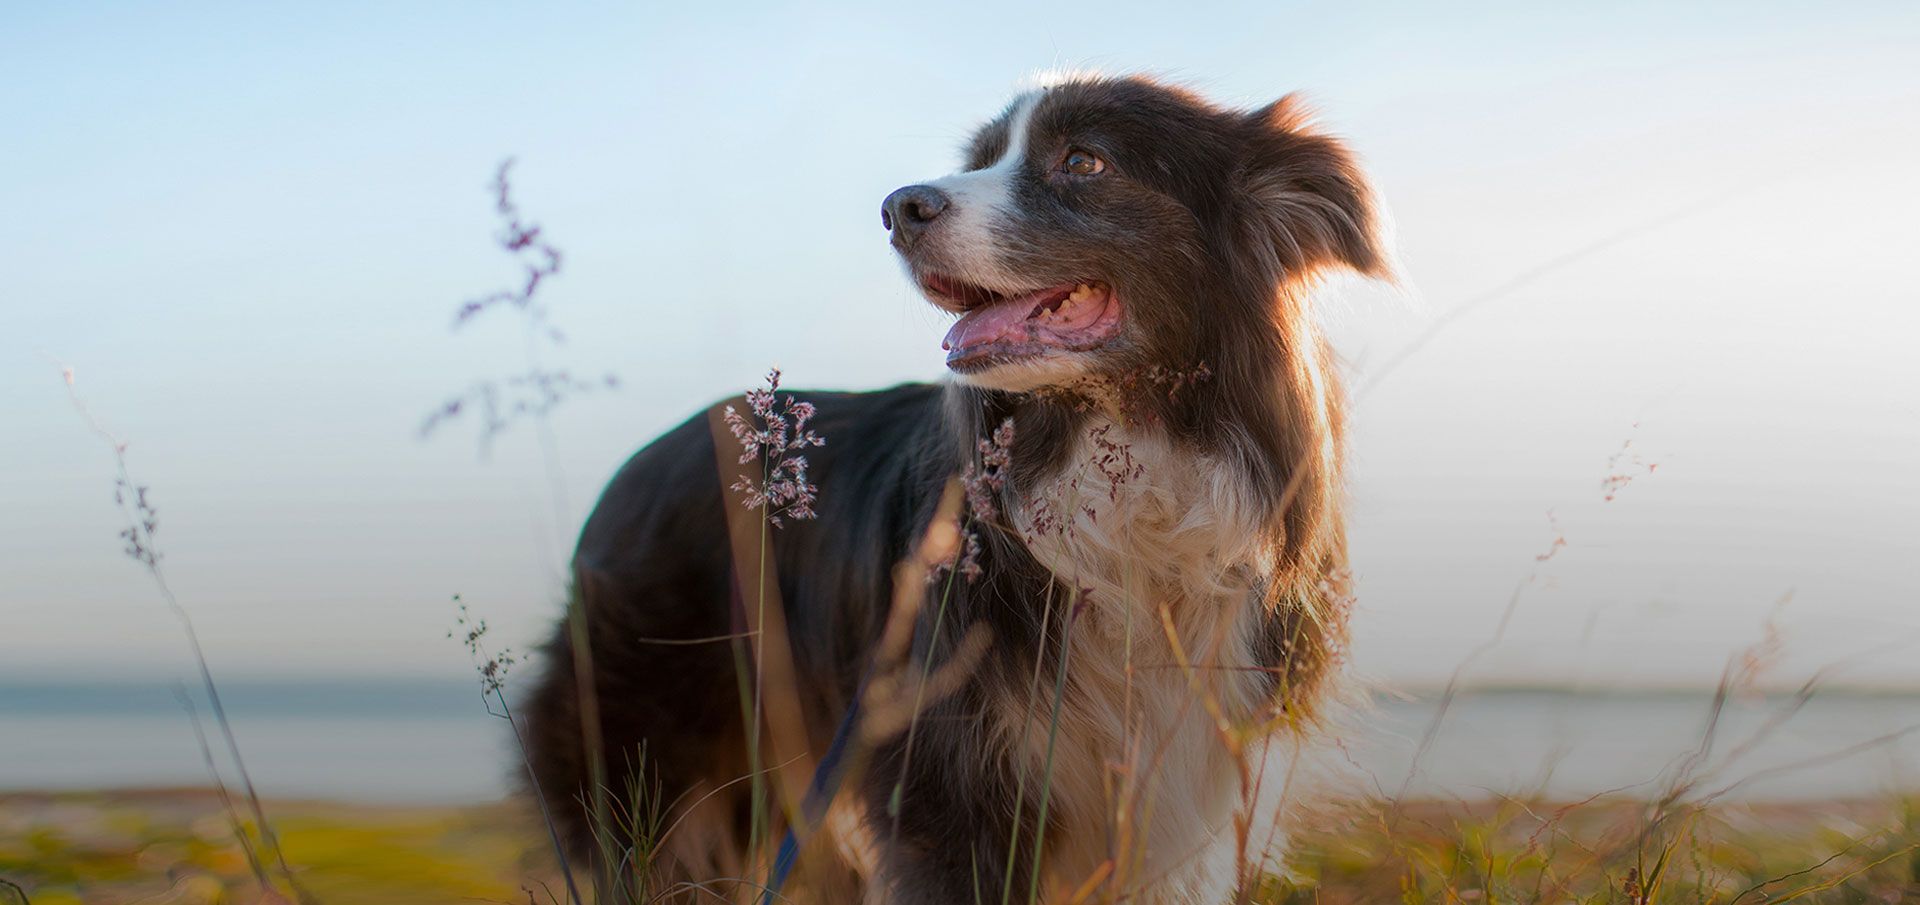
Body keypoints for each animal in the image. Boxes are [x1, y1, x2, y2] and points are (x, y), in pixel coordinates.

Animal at [529, 74, 1382, 903]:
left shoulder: (1189, 794)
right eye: (980, 159)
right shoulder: (948, 779)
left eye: (1084, 161)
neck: (1122, 461)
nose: (898, 208)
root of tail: (634, 468)